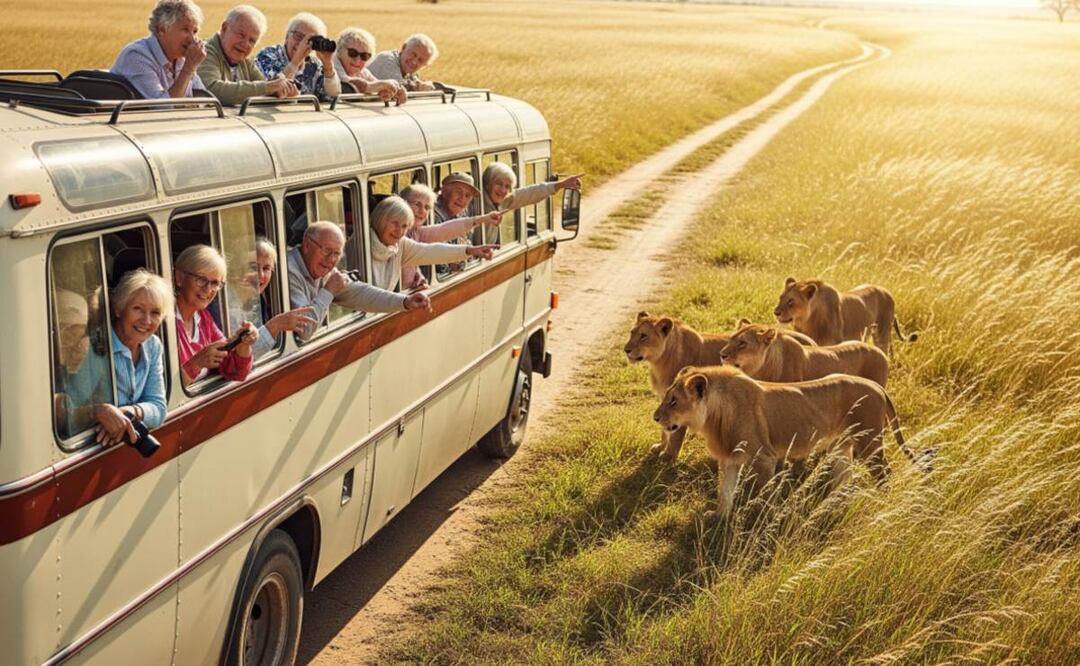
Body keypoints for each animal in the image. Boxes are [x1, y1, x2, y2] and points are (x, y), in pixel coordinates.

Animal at [624, 312, 816, 460]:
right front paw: (660, 446)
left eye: (643, 336)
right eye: (632, 333)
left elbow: (675, 432)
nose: (626, 350)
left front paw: (668, 456)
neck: (659, 361)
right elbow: (665, 428)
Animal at [652, 365, 917, 518]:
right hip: (842, 446)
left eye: (674, 401)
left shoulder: (764, 458)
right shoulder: (729, 458)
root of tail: (878, 386)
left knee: (885, 472)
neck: (714, 417)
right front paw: (719, 518)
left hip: (869, 442)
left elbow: (764, 494)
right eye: (667, 398)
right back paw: (836, 505)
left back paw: (884, 503)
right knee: (845, 478)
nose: (655, 417)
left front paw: (764, 521)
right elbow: (725, 491)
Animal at [774, 278, 917, 354]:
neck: (808, 322)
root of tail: (886, 290)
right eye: (780, 298)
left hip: (882, 334)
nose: (776, 312)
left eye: (791, 301)